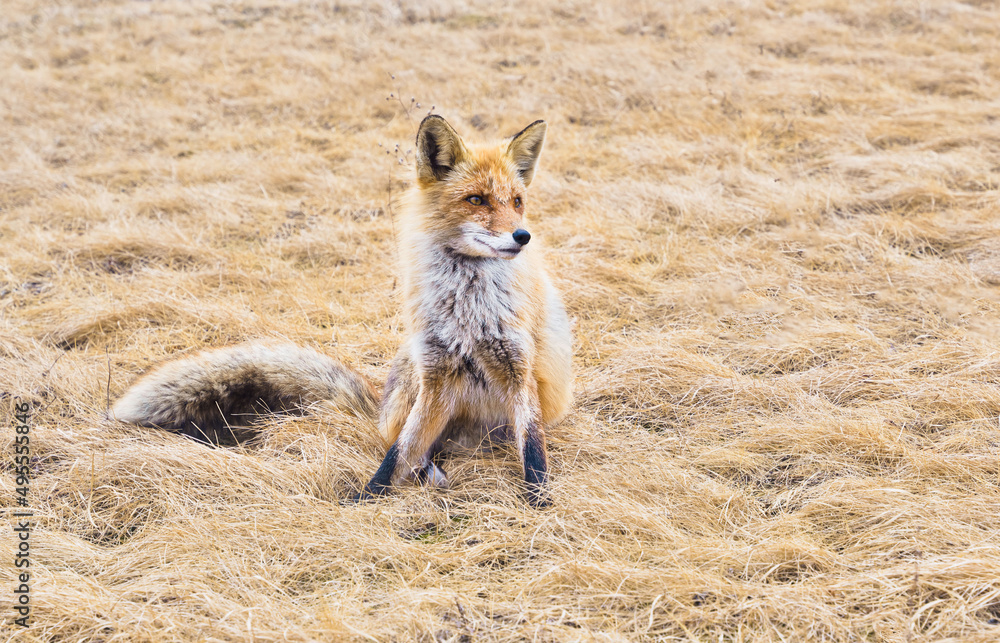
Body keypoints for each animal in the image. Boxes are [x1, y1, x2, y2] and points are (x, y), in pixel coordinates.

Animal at [113, 115, 573, 507]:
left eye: (517, 201)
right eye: (476, 199)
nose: (522, 236)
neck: (469, 308)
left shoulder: (518, 367)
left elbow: (532, 447)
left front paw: (539, 503)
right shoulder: (437, 375)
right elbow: (398, 452)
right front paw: (367, 499)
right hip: (412, 370)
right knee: (411, 444)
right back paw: (428, 473)